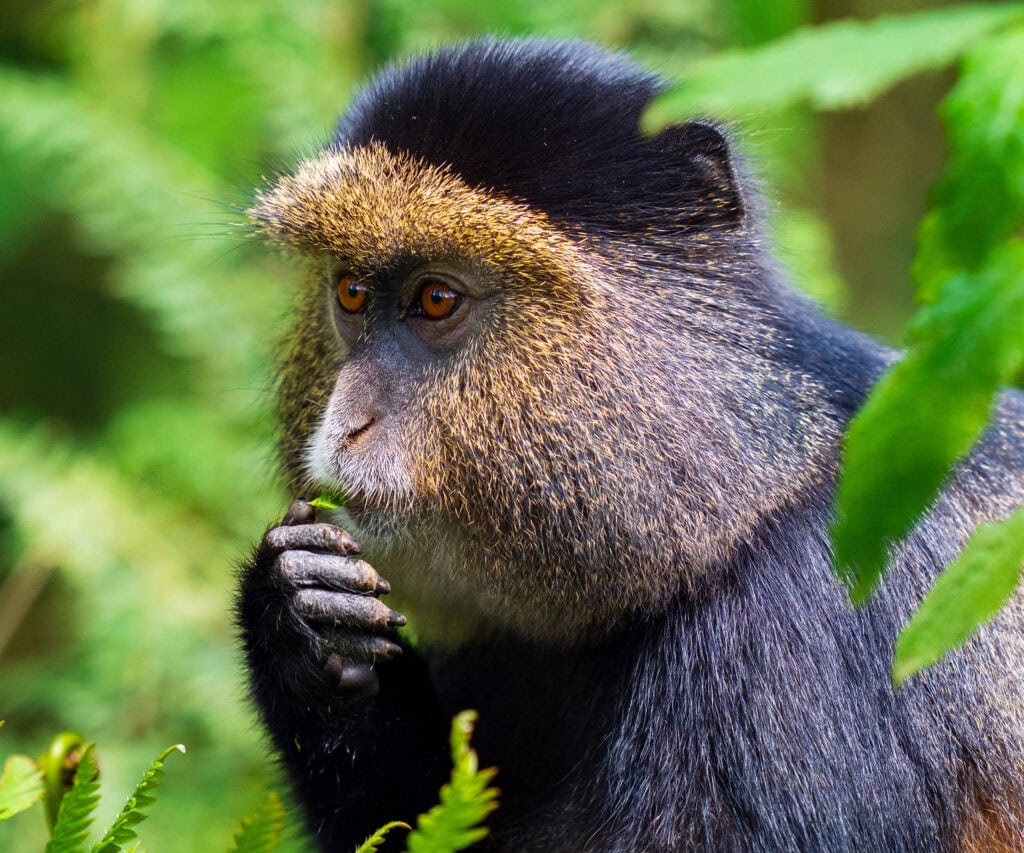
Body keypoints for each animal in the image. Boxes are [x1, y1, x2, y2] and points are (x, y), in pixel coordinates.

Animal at [236, 38, 1024, 851]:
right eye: (352, 293)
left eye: (436, 299)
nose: (346, 423)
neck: (751, 487)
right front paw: (298, 611)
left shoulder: (790, 632)